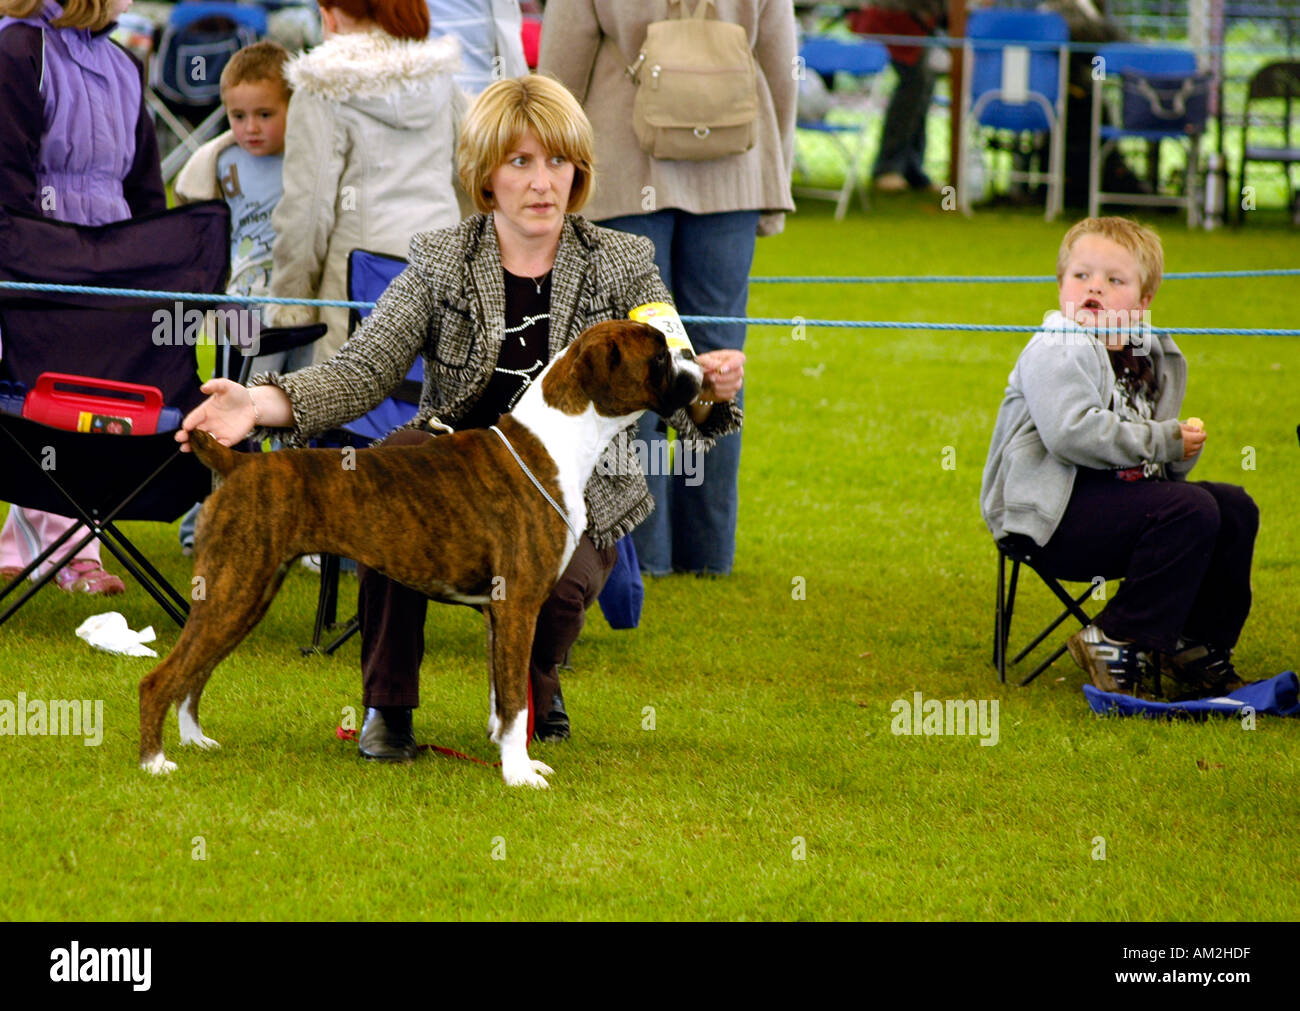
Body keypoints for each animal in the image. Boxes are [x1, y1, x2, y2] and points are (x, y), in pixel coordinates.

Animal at [138, 323, 707, 790]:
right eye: (659, 357)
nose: (700, 371)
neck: (554, 443)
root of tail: (239, 463)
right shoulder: (519, 605)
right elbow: (516, 702)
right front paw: (518, 775)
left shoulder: (500, 617)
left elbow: (503, 700)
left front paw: (511, 757)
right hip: (232, 591)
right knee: (160, 678)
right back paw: (155, 762)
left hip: (244, 596)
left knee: (194, 674)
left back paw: (194, 740)